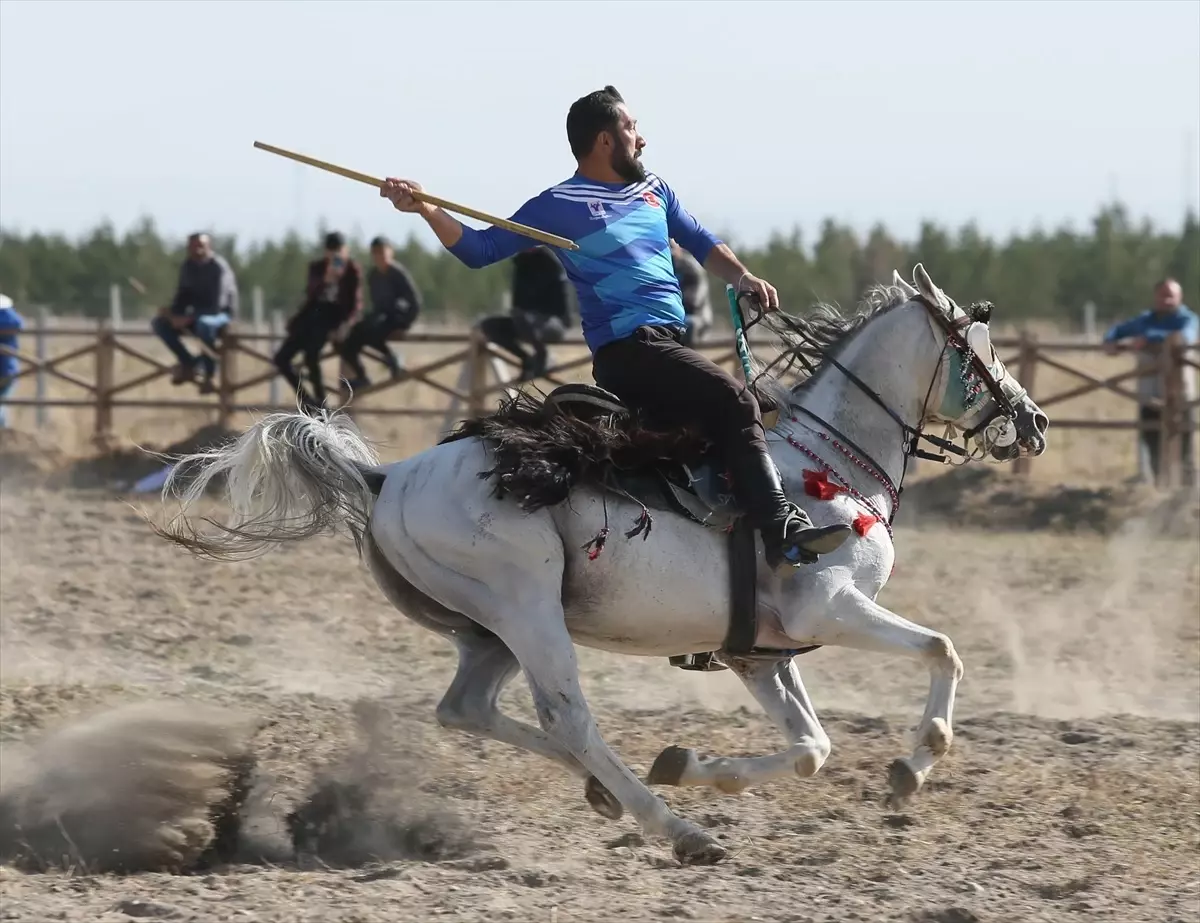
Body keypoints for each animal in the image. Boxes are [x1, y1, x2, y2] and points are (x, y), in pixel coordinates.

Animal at [154, 264, 1046, 864]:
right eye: (981, 345)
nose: (1033, 420)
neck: (821, 466)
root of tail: (387, 475)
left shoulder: (761, 652)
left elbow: (811, 746)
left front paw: (692, 763)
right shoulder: (829, 608)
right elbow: (943, 649)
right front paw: (912, 765)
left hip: (490, 629)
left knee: (467, 708)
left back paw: (613, 792)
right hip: (525, 609)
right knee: (569, 717)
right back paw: (676, 828)